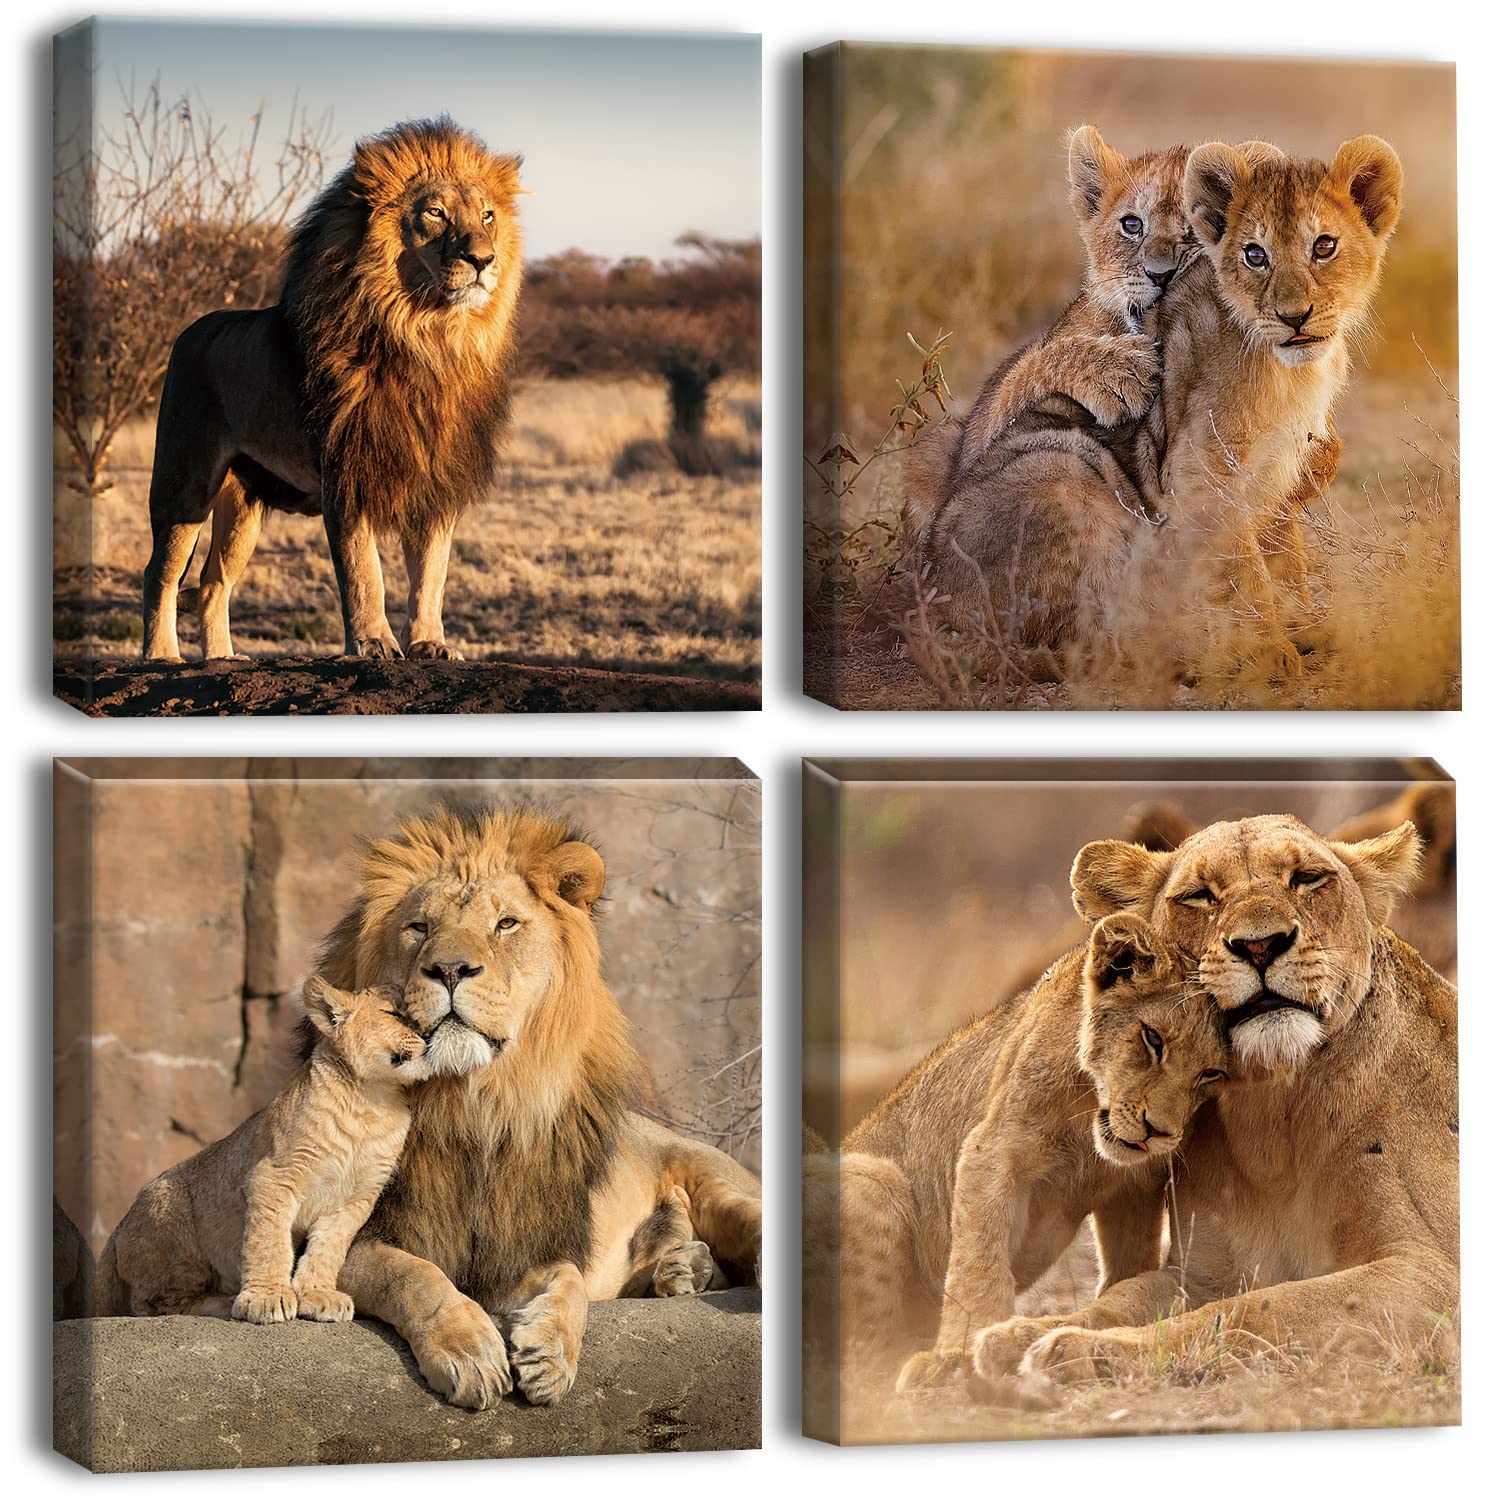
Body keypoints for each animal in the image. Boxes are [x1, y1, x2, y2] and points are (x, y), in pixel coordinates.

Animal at [98, 977, 432, 1324]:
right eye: (394, 1014)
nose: (429, 1035)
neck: (372, 1101)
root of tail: (116, 1231)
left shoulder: (357, 1198)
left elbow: (328, 1248)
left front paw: (318, 1294)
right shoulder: (274, 1175)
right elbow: (269, 1241)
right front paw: (267, 1298)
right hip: (174, 1224)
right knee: (151, 1305)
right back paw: (224, 1302)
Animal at [142, 117, 523, 664]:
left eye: (488, 215)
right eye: (435, 213)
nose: (483, 259)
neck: (427, 337)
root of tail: (190, 330)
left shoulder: (436, 478)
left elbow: (432, 573)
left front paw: (430, 643)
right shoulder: (347, 472)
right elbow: (364, 571)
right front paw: (373, 643)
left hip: (242, 508)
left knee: (214, 584)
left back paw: (221, 659)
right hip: (184, 484)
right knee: (161, 574)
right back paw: (162, 657)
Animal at [220, 803, 756, 1409]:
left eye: (505, 924)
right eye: (420, 927)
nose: (450, 969)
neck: (476, 1105)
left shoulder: (525, 1245)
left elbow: (570, 1282)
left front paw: (550, 1355)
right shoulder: (364, 1235)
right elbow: (415, 1275)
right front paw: (469, 1350)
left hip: (717, 1182)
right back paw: (681, 1268)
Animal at [803, 911, 1228, 1430]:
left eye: (1212, 1074)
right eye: (1153, 1039)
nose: (1158, 1132)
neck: (1088, 1115)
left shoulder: (1134, 1186)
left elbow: (1130, 1264)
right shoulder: (991, 1151)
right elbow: (978, 1265)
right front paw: (962, 1352)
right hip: (871, 1180)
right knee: (858, 1356)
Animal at [970, 812, 1457, 1387]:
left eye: (1307, 878)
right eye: (1200, 895)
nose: (1261, 945)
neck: (1271, 1118)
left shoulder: (1432, 1275)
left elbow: (1262, 1307)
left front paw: (1084, 1351)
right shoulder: (1202, 1274)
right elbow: (1124, 1296)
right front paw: (1018, 1334)